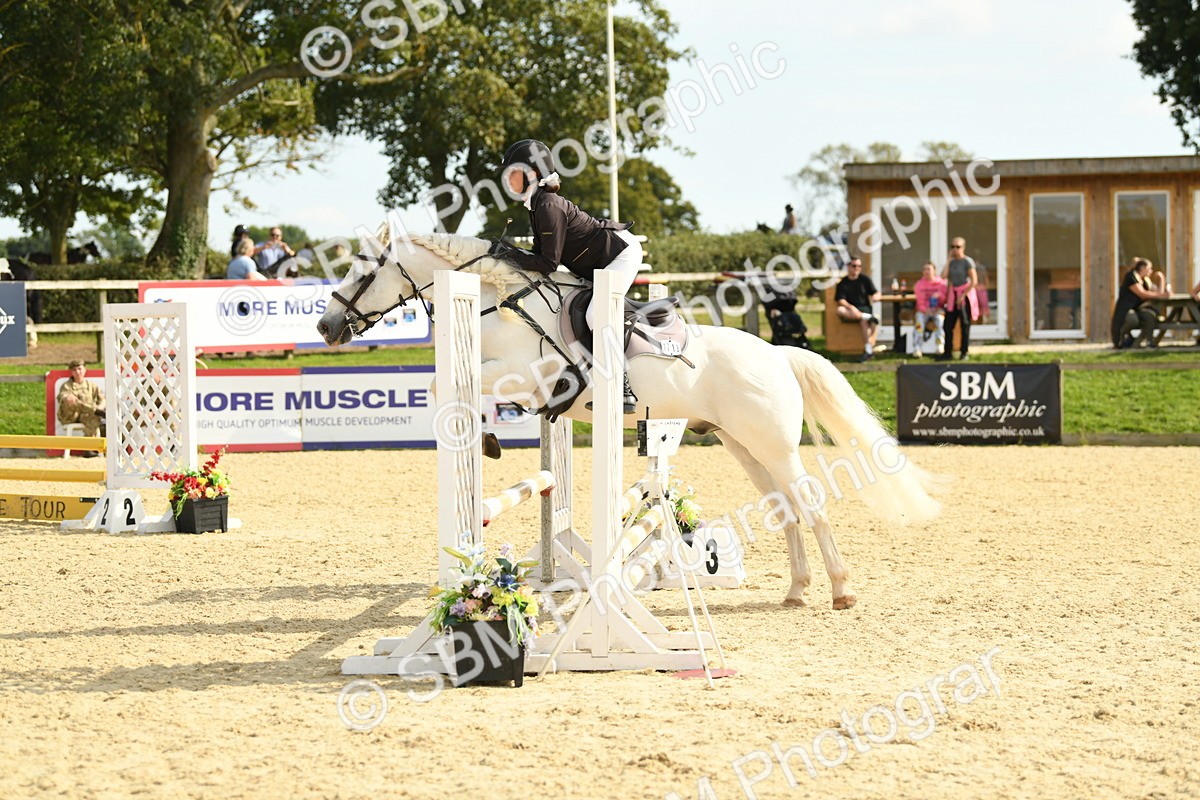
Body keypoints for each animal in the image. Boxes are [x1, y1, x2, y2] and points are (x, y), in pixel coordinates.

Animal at [316, 230, 942, 609]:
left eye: (363, 271)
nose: (325, 327)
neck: (503, 302)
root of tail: (778, 353)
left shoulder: (528, 374)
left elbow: (448, 390)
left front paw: (487, 438)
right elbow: (447, 390)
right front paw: (489, 437)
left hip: (774, 445)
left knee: (809, 504)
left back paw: (839, 590)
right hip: (744, 445)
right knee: (786, 509)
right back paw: (796, 589)